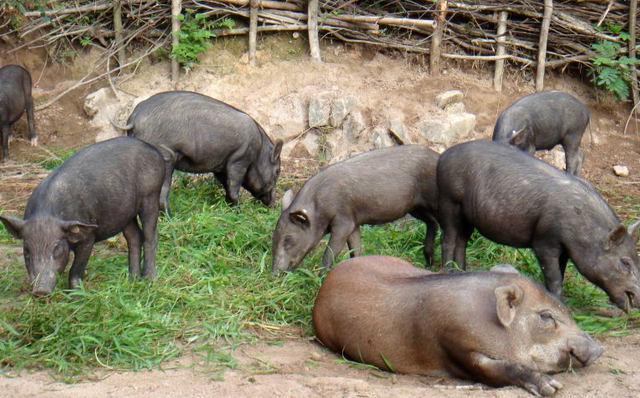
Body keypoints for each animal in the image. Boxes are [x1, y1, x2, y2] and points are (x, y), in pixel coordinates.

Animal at [0, 137, 168, 296]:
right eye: (26, 250)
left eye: (56, 248)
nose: (40, 291)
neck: (46, 213)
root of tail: (153, 150)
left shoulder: (88, 236)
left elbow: (75, 271)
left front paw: (75, 298)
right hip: (125, 213)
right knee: (134, 237)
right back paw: (132, 280)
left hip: (150, 195)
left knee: (151, 236)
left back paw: (149, 279)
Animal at [112, 91, 282, 215]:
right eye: (277, 171)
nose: (274, 205)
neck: (259, 151)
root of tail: (133, 119)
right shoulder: (240, 158)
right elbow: (234, 187)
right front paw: (240, 212)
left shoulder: (221, 167)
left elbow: (227, 187)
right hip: (165, 155)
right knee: (162, 193)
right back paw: (171, 217)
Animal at [270, 146, 440, 274]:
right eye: (274, 237)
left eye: (288, 240)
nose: (273, 274)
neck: (319, 207)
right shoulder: (354, 223)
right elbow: (355, 250)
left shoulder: (343, 221)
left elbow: (330, 253)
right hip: (416, 208)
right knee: (432, 222)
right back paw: (429, 263)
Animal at [312, 255, 604, 394]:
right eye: (546, 317)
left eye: (564, 308)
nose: (598, 348)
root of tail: (325, 285)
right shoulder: (456, 346)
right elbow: (498, 369)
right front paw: (553, 388)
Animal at [436, 140, 640, 310]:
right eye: (625, 262)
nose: (638, 298)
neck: (582, 230)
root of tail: (443, 157)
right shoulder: (545, 241)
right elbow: (554, 277)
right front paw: (562, 304)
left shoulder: (564, 249)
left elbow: (561, 272)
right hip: (449, 202)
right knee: (448, 239)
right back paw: (448, 271)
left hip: (468, 216)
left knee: (462, 241)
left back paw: (462, 271)